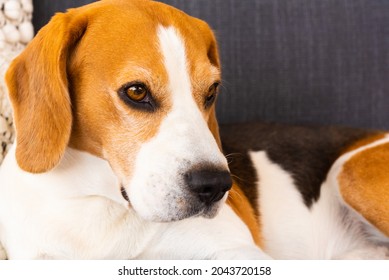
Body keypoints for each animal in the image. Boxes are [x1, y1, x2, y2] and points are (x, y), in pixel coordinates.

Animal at [0, 0, 386, 260]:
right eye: (136, 91)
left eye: (211, 91)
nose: (215, 186)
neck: (98, 202)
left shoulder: (237, 252)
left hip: (349, 172)